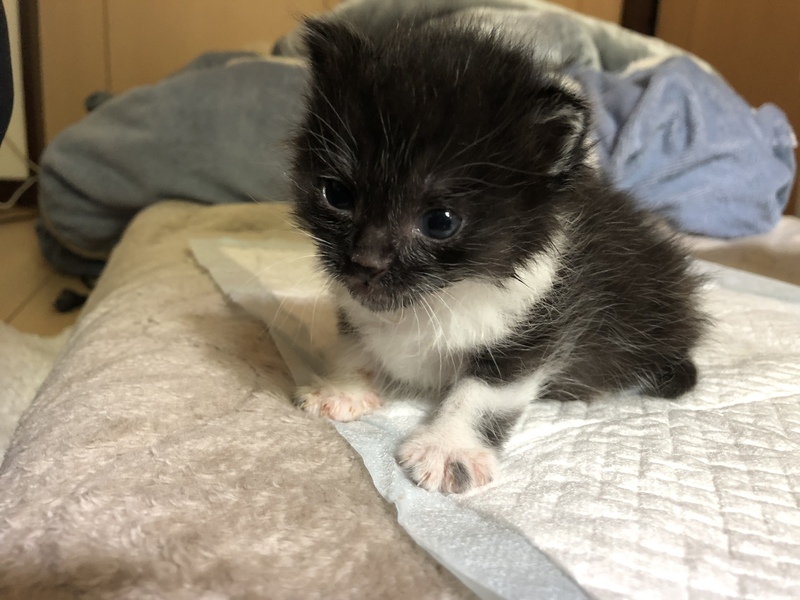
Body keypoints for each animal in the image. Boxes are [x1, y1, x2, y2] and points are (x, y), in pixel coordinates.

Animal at [289, 18, 706, 494]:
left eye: (440, 222)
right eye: (337, 195)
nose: (365, 262)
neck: (436, 300)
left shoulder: (547, 314)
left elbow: (487, 390)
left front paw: (448, 448)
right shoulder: (354, 299)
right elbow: (354, 341)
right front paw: (340, 389)